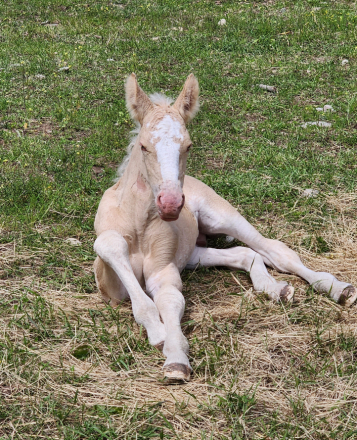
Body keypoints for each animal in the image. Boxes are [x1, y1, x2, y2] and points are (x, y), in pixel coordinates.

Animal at [92, 73, 356, 382]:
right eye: (144, 146)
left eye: (188, 146)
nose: (170, 204)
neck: (139, 223)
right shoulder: (110, 288)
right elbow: (109, 244)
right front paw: (158, 332)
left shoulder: (163, 271)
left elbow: (170, 298)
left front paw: (175, 356)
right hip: (193, 253)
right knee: (245, 253)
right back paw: (274, 288)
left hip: (221, 216)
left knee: (276, 252)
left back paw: (338, 289)